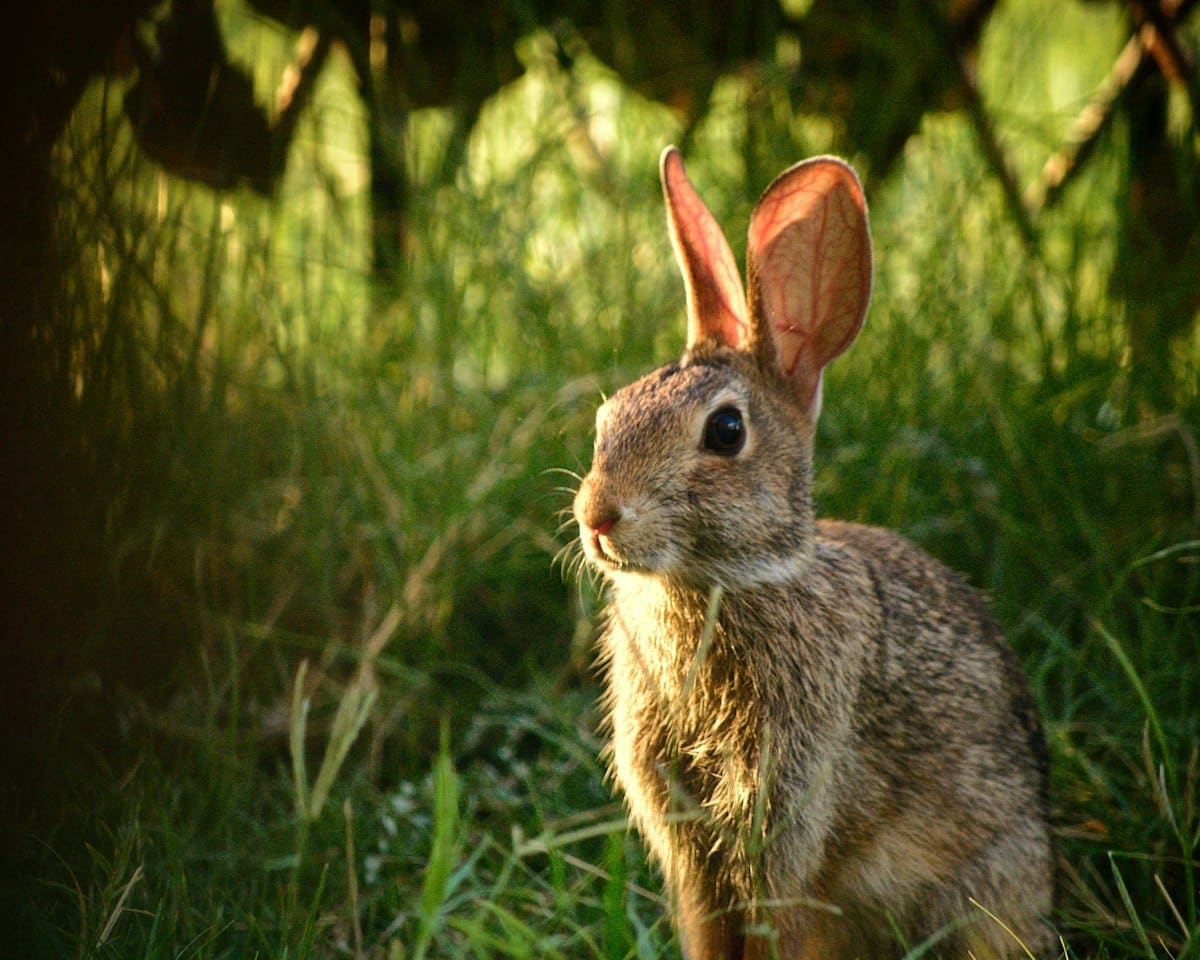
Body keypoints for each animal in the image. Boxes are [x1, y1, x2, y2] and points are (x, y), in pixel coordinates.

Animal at [571, 146, 1053, 960]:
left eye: (726, 431)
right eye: (610, 416)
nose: (598, 517)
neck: (721, 584)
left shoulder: (787, 809)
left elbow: (776, 919)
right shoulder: (688, 842)